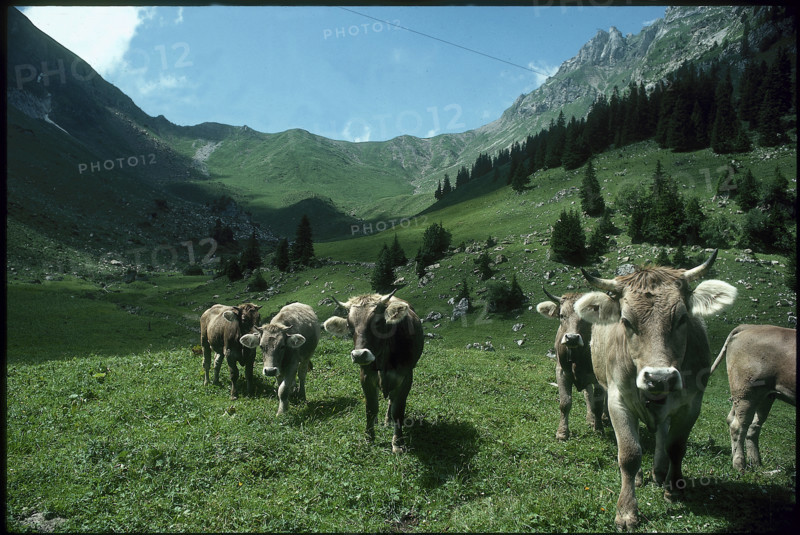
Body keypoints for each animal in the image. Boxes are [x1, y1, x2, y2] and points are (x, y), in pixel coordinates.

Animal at [322, 289, 424, 453]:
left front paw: (398, 443)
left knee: (391, 401)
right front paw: (369, 437)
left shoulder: (406, 378)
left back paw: (388, 420)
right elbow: (371, 408)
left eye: (377, 322)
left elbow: (398, 410)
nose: (359, 355)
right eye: (349, 325)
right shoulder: (365, 376)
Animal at [536, 287, 606, 441]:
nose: (572, 338)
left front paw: (599, 429)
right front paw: (562, 432)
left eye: (587, 317)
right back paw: (590, 418)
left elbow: (599, 403)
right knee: (588, 394)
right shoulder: (561, 371)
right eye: (562, 315)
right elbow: (565, 402)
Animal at [573, 250, 737, 530]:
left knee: (662, 432)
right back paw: (641, 476)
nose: (659, 378)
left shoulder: (691, 404)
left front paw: (674, 487)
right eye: (626, 321)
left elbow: (676, 446)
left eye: (682, 318)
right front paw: (626, 511)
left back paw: (659, 472)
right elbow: (629, 453)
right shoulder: (617, 400)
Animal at [710, 324, 796, 471]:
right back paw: (740, 464)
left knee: (752, 425)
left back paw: (756, 462)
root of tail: (750, 326)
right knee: (738, 426)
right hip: (747, 392)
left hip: (765, 395)